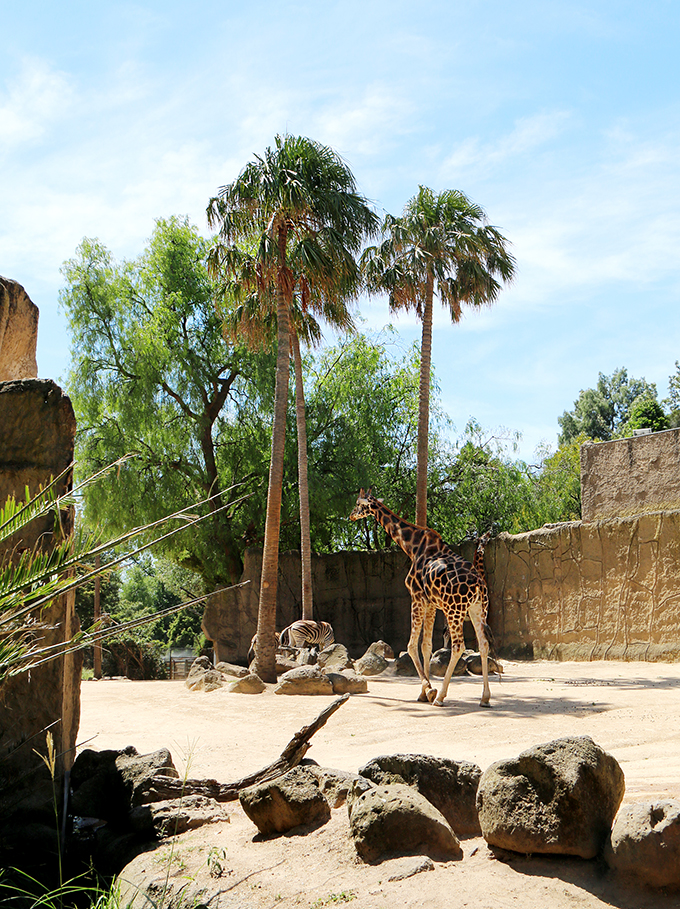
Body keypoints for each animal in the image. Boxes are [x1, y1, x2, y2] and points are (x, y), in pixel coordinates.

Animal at [348, 490, 492, 708]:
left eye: (358, 504)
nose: (350, 516)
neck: (412, 547)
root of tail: (478, 585)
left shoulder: (416, 597)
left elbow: (411, 645)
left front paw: (430, 690)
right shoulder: (431, 603)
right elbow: (426, 645)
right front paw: (424, 692)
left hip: (454, 610)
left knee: (459, 646)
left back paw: (441, 697)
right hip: (477, 610)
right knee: (483, 644)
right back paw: (485, 698)